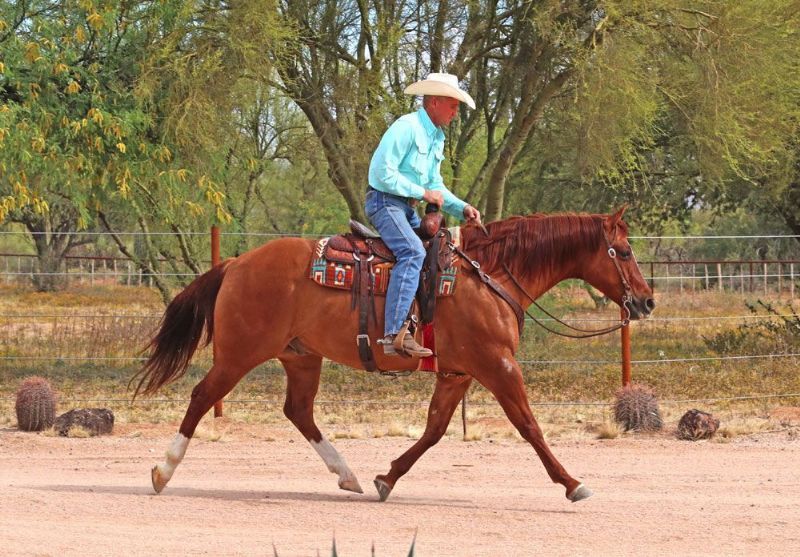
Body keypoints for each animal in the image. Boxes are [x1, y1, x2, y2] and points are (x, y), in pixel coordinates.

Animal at [134, 206, 655, 503]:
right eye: (625, 251)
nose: (647, 301)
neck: (492, 273)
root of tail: (237, 262)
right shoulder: (497, 365)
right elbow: (529, 425)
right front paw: (572, 483)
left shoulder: (458, 373)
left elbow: (435, 429)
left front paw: (387, 477)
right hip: (239, 354)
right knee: (202, 397)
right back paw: (162, 470)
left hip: (301, 356)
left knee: (299, 411)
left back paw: (347, 476)